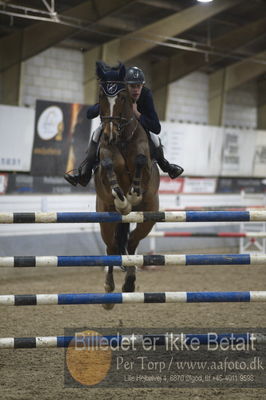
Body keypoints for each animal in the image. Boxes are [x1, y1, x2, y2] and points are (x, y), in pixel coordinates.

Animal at [93, 61, 160, 310]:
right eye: (101, 96)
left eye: (121, 97)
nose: (110, 134)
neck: (122, 138)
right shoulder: (106, 156)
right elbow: (109, 165)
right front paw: (122, 200)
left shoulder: (144, 159)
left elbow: (140, 160)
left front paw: (133, 194)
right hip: (105, 219)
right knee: (112, 248)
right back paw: (109, 291)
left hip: (149, 217)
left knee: (131, 244)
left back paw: (129, 284)